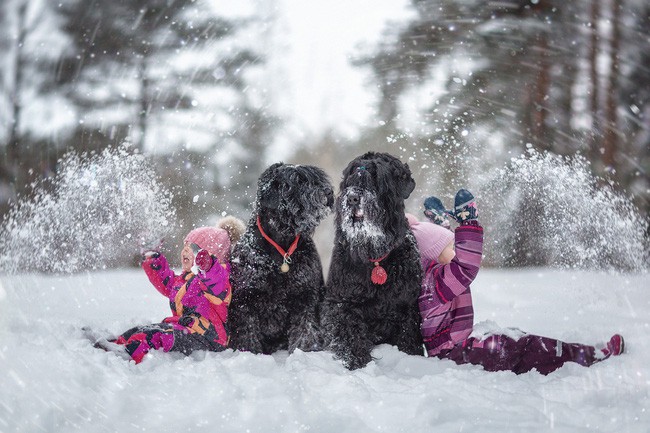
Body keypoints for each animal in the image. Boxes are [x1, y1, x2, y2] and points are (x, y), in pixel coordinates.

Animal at [228, 162, 332, 354]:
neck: (281, 246)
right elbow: (247, 332)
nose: (328, 192)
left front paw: (305, 350)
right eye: (298, 181)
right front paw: (250, 352)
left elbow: (305, 327)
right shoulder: (246, 299)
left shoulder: (305, 294)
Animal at [322, 151, 422, 368]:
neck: (375, 257)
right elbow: (351, 336)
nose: (352, 198)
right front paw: (357, 362)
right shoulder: (344, 303)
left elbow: (409, 339)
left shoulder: (407, 306)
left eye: (377, 179)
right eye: (349, 179)